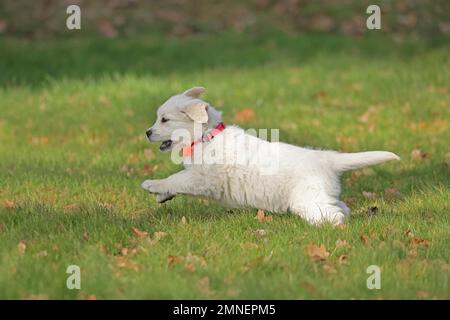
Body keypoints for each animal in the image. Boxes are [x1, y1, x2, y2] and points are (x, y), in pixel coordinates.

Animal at [142, 86, 400, 224]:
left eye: (164, 119)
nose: (147, 132)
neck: (207, 136)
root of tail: (326, 158)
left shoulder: (203, 178)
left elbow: (176, 178)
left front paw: (153, 184)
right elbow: (177, 182)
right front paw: (162, 196)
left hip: (306, 198)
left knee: (333, 213)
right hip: (320, 194)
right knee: (340, 206)